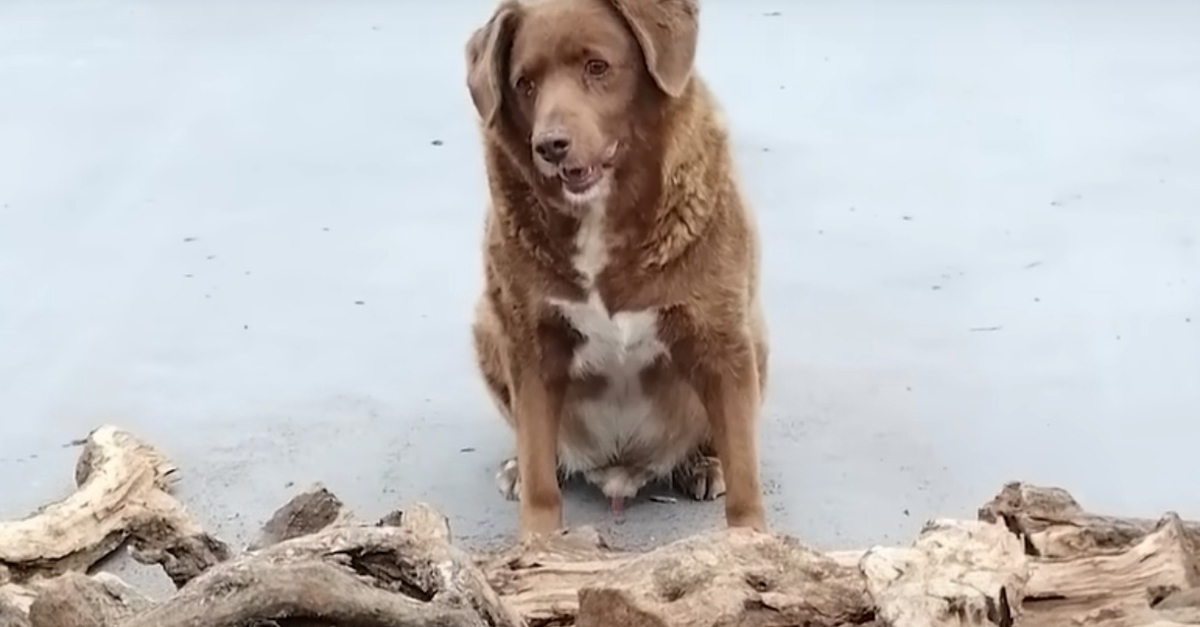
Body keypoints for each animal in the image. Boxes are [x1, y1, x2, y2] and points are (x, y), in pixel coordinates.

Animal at [463, 0, 772, 535]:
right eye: (525, 83)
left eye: (597, 67)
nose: (550, 145)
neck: (600, 215)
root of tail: (620, 467)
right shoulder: (531, 345)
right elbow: (540, 473)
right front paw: (538, 540)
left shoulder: (722, 340)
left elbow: (744, 471)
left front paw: (751, 538)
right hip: (487, 324)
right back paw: (520, 467)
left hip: (755, 338)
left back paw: (701, 464)